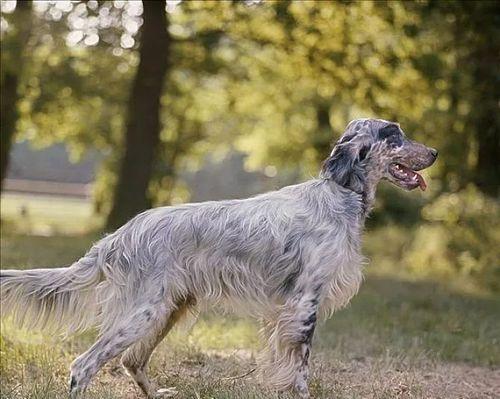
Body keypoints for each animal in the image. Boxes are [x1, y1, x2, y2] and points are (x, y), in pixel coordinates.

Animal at [0, 118, 438, 396]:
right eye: (394, 135)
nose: (434, 151)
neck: (338, 195)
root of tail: (118, 237)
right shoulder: (304, 304)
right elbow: (300, 371)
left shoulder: (285, 314)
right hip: (142, 312)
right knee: (84, 365)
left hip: (167, 309)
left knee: (132, 362)